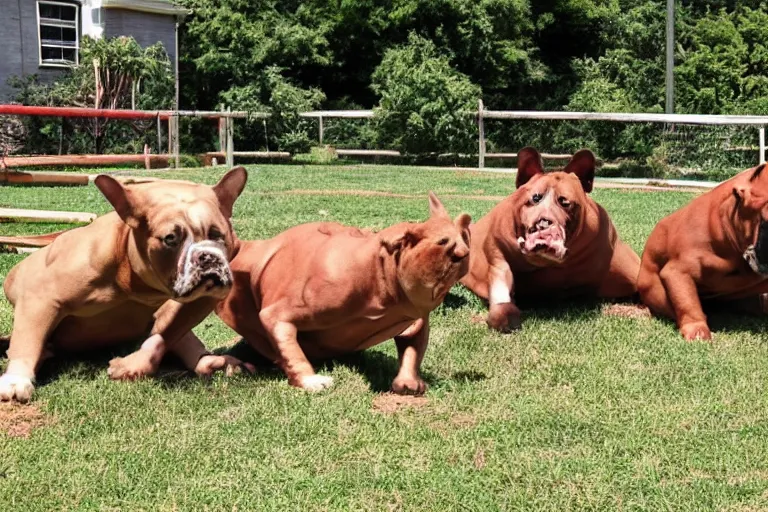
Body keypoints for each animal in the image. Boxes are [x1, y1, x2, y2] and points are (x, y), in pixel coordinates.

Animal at [0, 170, 249, 402]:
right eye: (170, 238)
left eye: (218, 235)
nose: (207, 256)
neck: (132, 277)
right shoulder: (39, 296)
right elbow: (27, 340)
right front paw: (16, 378)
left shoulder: (204, 296)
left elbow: (163, 336)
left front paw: (136, 364)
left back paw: (208, 361)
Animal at [213, 193, 472, 396]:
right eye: (443, 242)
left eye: (462, 236)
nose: (464, 252)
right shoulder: (303, 304)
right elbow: (282, 331)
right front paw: (311, 380)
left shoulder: (414, 314)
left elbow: (413, 345)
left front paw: (408, 382)